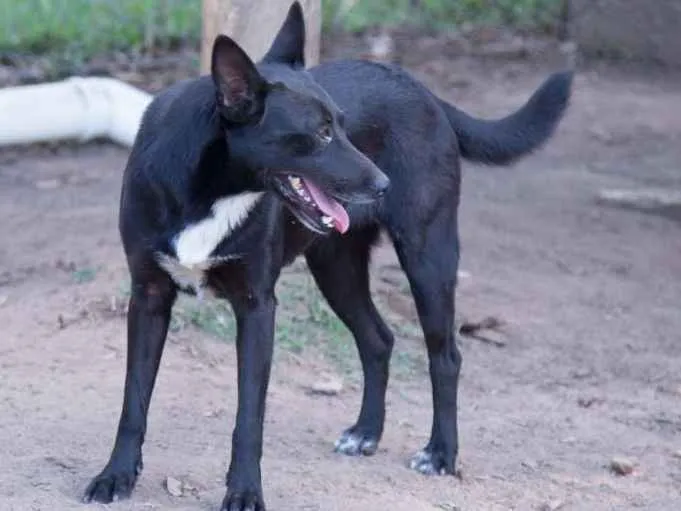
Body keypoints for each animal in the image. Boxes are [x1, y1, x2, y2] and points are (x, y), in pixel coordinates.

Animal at [82, 3, 572, 508]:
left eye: (341, 122)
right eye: (319, 134)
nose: (383, 184)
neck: (210, 189)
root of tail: (421, 88)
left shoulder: (257, 307)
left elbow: (249, 418)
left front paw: (245, 491)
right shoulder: (148, 297)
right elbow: (133, 401)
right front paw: (116, 476)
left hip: (428, 257)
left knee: (446, 356)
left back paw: (440, 454)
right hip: (336, 267)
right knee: (378, 339)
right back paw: (366, 433)